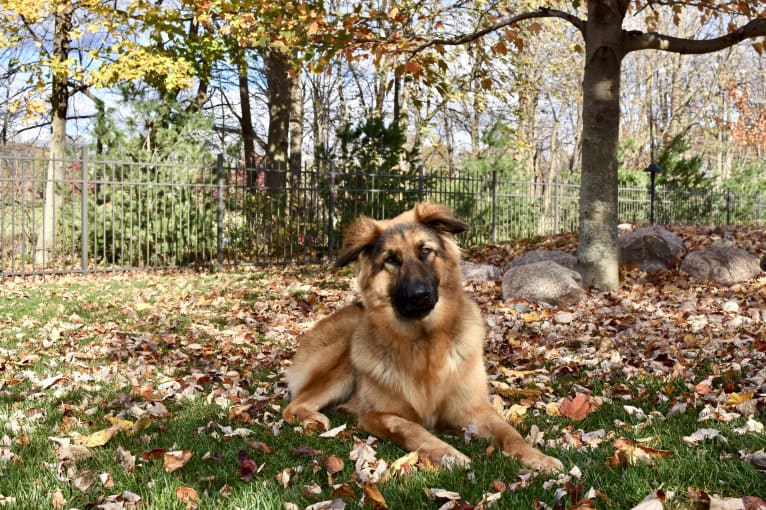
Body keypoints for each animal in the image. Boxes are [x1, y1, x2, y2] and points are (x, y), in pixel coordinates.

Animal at [282, 201, 564, 472]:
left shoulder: (475, 409)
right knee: (293, 406)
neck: (426, 343)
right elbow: (411, 428)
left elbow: (510, 432)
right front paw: (448, 454)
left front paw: (537, 457)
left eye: (425, 251)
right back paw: (314, 418)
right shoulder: (377, 415)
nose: (420, 295)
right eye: (391, 259)